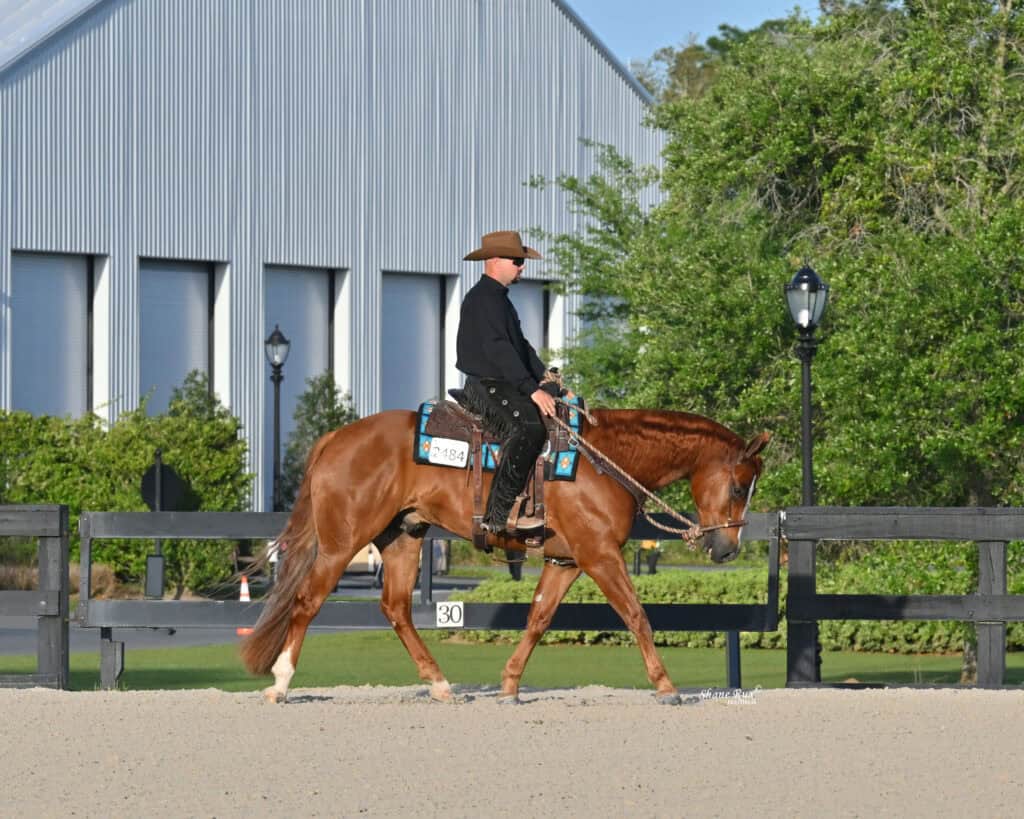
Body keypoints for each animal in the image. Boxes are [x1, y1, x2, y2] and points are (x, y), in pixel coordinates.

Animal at [241, 407, 770, 705]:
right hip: (341, 542)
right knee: (306, 602)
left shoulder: (567, 561)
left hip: (404, 537)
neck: (602, 459)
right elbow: (637, 615)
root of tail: (338, 437)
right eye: (738, 486)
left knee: (396, 609)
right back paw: (281, 684)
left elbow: (538, 618)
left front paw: (511, 685)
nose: (727, 548)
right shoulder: (600, 556)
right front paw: (665, 686)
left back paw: (440, 684)